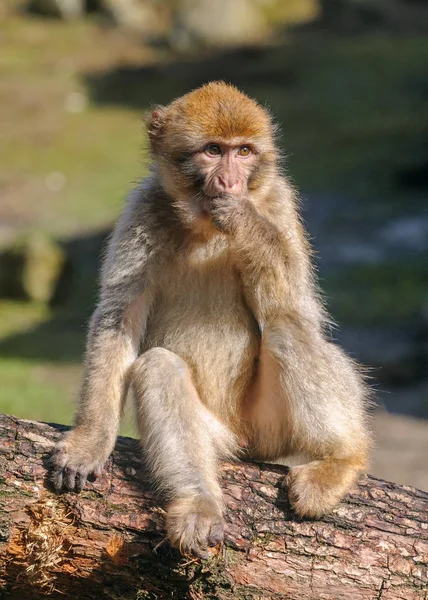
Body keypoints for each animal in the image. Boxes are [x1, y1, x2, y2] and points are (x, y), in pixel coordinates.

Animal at [51, 79, 372, 556]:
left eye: (244, 151)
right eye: (213, 150)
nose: (230, 180)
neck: (204, 226)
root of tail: (244, 439)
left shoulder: (278, 200)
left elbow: (300, 309)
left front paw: (244, 220)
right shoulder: (143, 209)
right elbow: (117, 317)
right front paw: (90, 440)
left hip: (269, 428)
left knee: (288, 327)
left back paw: (340, 458)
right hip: (221, 439)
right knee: (159, 368)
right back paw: (198, 505)